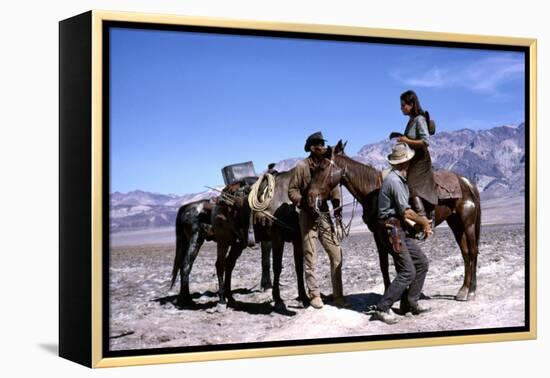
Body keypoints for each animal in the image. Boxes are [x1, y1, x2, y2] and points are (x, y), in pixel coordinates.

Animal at [308, 141, 480, 302]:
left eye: (322, 167)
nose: (310, 196)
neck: (373, 191)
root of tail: (466, 181)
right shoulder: (378, 234)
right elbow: (384, 264)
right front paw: (390, 292)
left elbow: (397, 264)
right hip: (455, 224)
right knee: (465, 253)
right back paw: (463, 290)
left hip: (468, 223)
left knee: (472, 252)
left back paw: (471, 291)